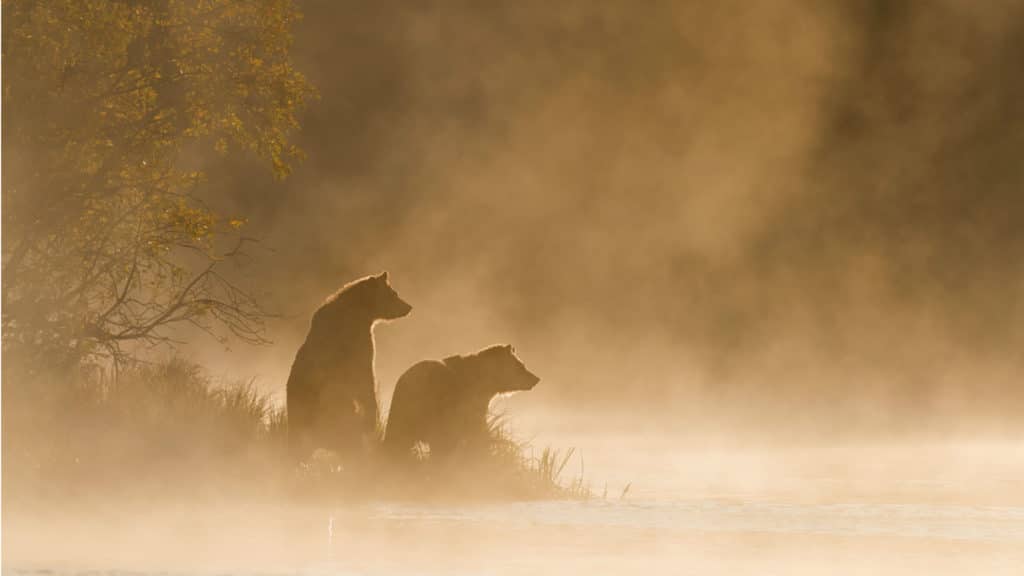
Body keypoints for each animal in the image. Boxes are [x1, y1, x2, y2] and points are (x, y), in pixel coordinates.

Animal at [286, 272, 412, 462]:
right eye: (394, 293)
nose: (408, 307)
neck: (361, 311)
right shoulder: (358, 344)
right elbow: (365, 378)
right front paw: (372, 418)